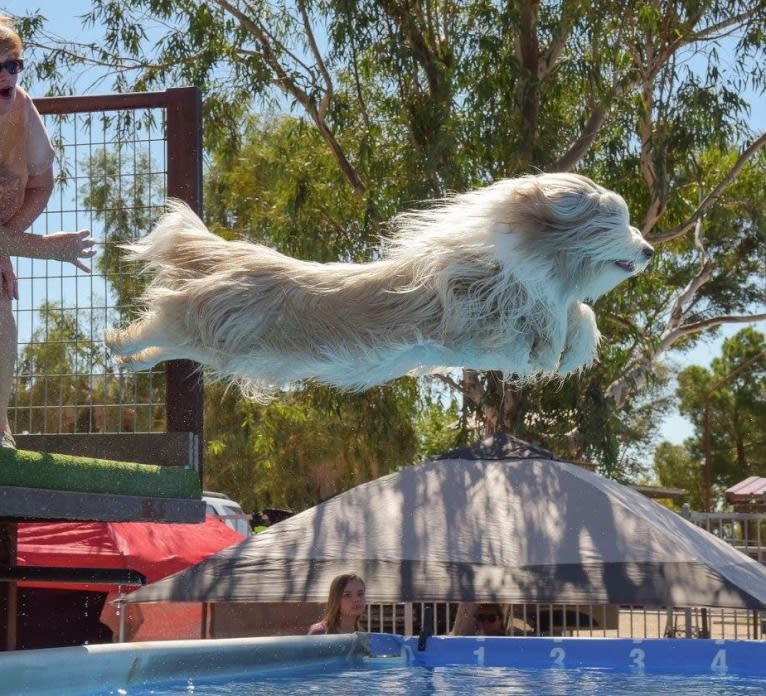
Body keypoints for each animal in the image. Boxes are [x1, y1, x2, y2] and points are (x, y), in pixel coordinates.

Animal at [105, 172, 656, 400]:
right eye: (616, 222)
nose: (651, 250)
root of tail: (239, 259)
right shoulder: (487, 321)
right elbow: (538, 330)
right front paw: (560, 345)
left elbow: (573, 315)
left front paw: (572, 344)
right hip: (201, 319)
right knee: (159, 318)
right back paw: (117, 341)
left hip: (213, 343)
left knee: (163, 343)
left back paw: (130, 359)